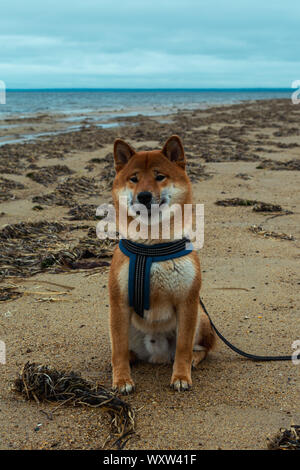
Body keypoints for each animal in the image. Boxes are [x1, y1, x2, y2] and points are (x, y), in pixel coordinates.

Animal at [108, 136, 216, 392]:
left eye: (159, 176)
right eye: (134, 178)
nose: (144, 196)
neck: (151, 246)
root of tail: (157, 355)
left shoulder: (188, 302)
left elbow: (184, 347)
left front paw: (181, 376)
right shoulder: (119, 302)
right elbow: (118, 348)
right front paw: (122, 379)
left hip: (201, 318)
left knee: (201, 348)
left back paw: (193, 360)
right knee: (123, 347)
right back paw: (130, 358)